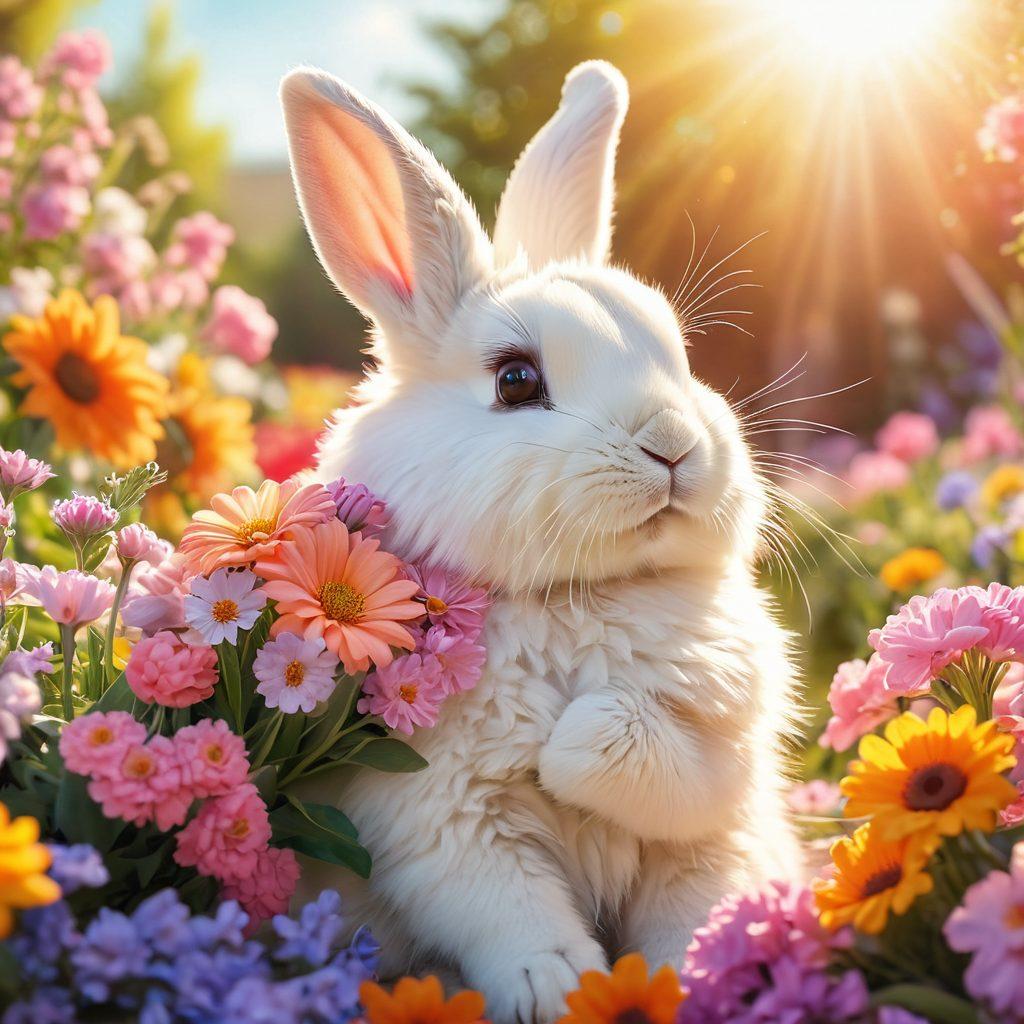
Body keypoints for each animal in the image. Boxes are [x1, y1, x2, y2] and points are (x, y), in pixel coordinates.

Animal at [281, 59, 803, 1024]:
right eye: (517, 381)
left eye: (680, 359)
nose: (674, 443)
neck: (578, 599)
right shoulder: (442, 816)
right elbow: (509, 910)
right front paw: (559, 991)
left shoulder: (724, 781)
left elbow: (667, 807)